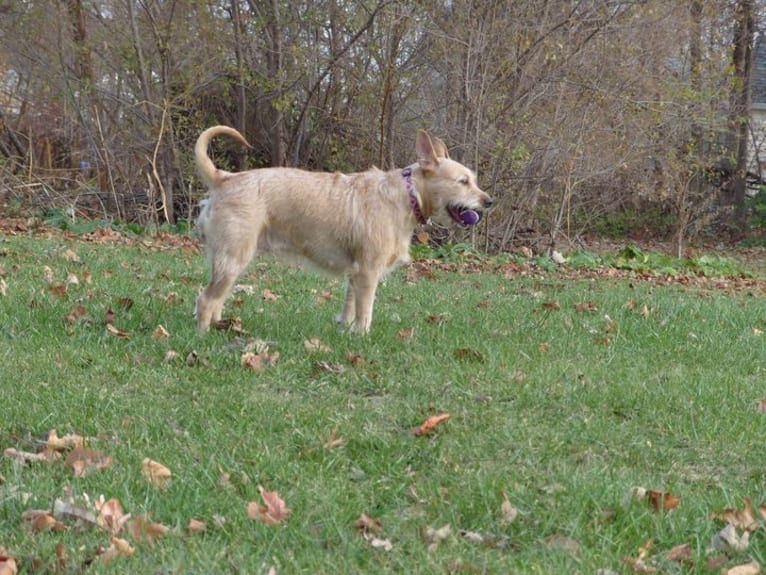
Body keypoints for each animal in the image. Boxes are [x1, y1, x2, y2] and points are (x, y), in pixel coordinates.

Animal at [192, 126, 492, 332]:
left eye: (473, 180)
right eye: (463, 181)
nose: (489, 201)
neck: (407, 195)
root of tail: (223, 178)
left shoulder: (354, 274)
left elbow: (349, 309)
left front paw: (346, 332)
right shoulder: (368, 273)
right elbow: (365, 311)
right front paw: (363, 336)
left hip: (228, 262)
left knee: (216, 300)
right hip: (233, 258)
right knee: (205, 301)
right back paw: (204, 336)